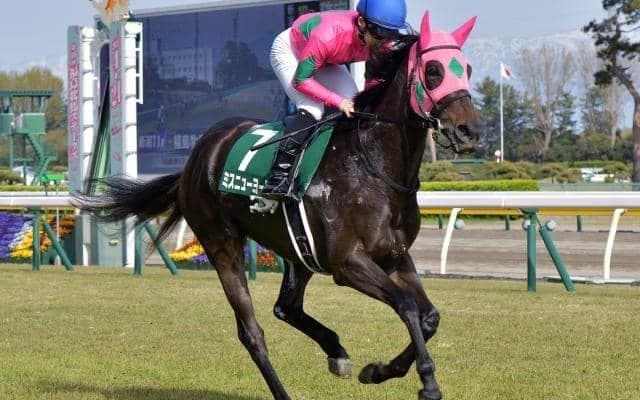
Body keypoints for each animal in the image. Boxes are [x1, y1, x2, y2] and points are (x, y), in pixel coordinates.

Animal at [74, 11, 481, 400]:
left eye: (468, 69)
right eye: (434, 70)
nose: (469, 131)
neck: (372, 167)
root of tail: (194, 160)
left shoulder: (395, 256)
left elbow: (429, 316)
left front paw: (378, 371)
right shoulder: (348, 263)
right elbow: (407, 306)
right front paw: (426, 383)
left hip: (298, 251)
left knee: (286, 307)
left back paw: (336, 351)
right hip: (223, 246)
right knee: (252, 331)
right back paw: (286, 384)